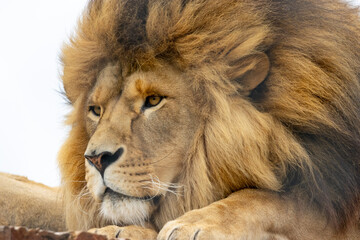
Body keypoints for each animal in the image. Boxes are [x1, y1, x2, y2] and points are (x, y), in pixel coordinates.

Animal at [57, 0, 358, 239]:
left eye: (153, 100)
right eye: (96, 110)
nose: (96, 159)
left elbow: (266, 199)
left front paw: (192, 224)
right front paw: (118, 230)